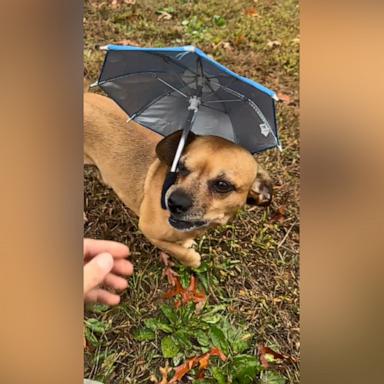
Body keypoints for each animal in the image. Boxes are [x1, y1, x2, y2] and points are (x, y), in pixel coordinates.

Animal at [84, 92, 272, 268]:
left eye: (222, 185)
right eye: (180, 166)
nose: (174, 202)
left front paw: (186, 243)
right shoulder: (147, 229)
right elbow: (177, 251)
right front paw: (191, 259)